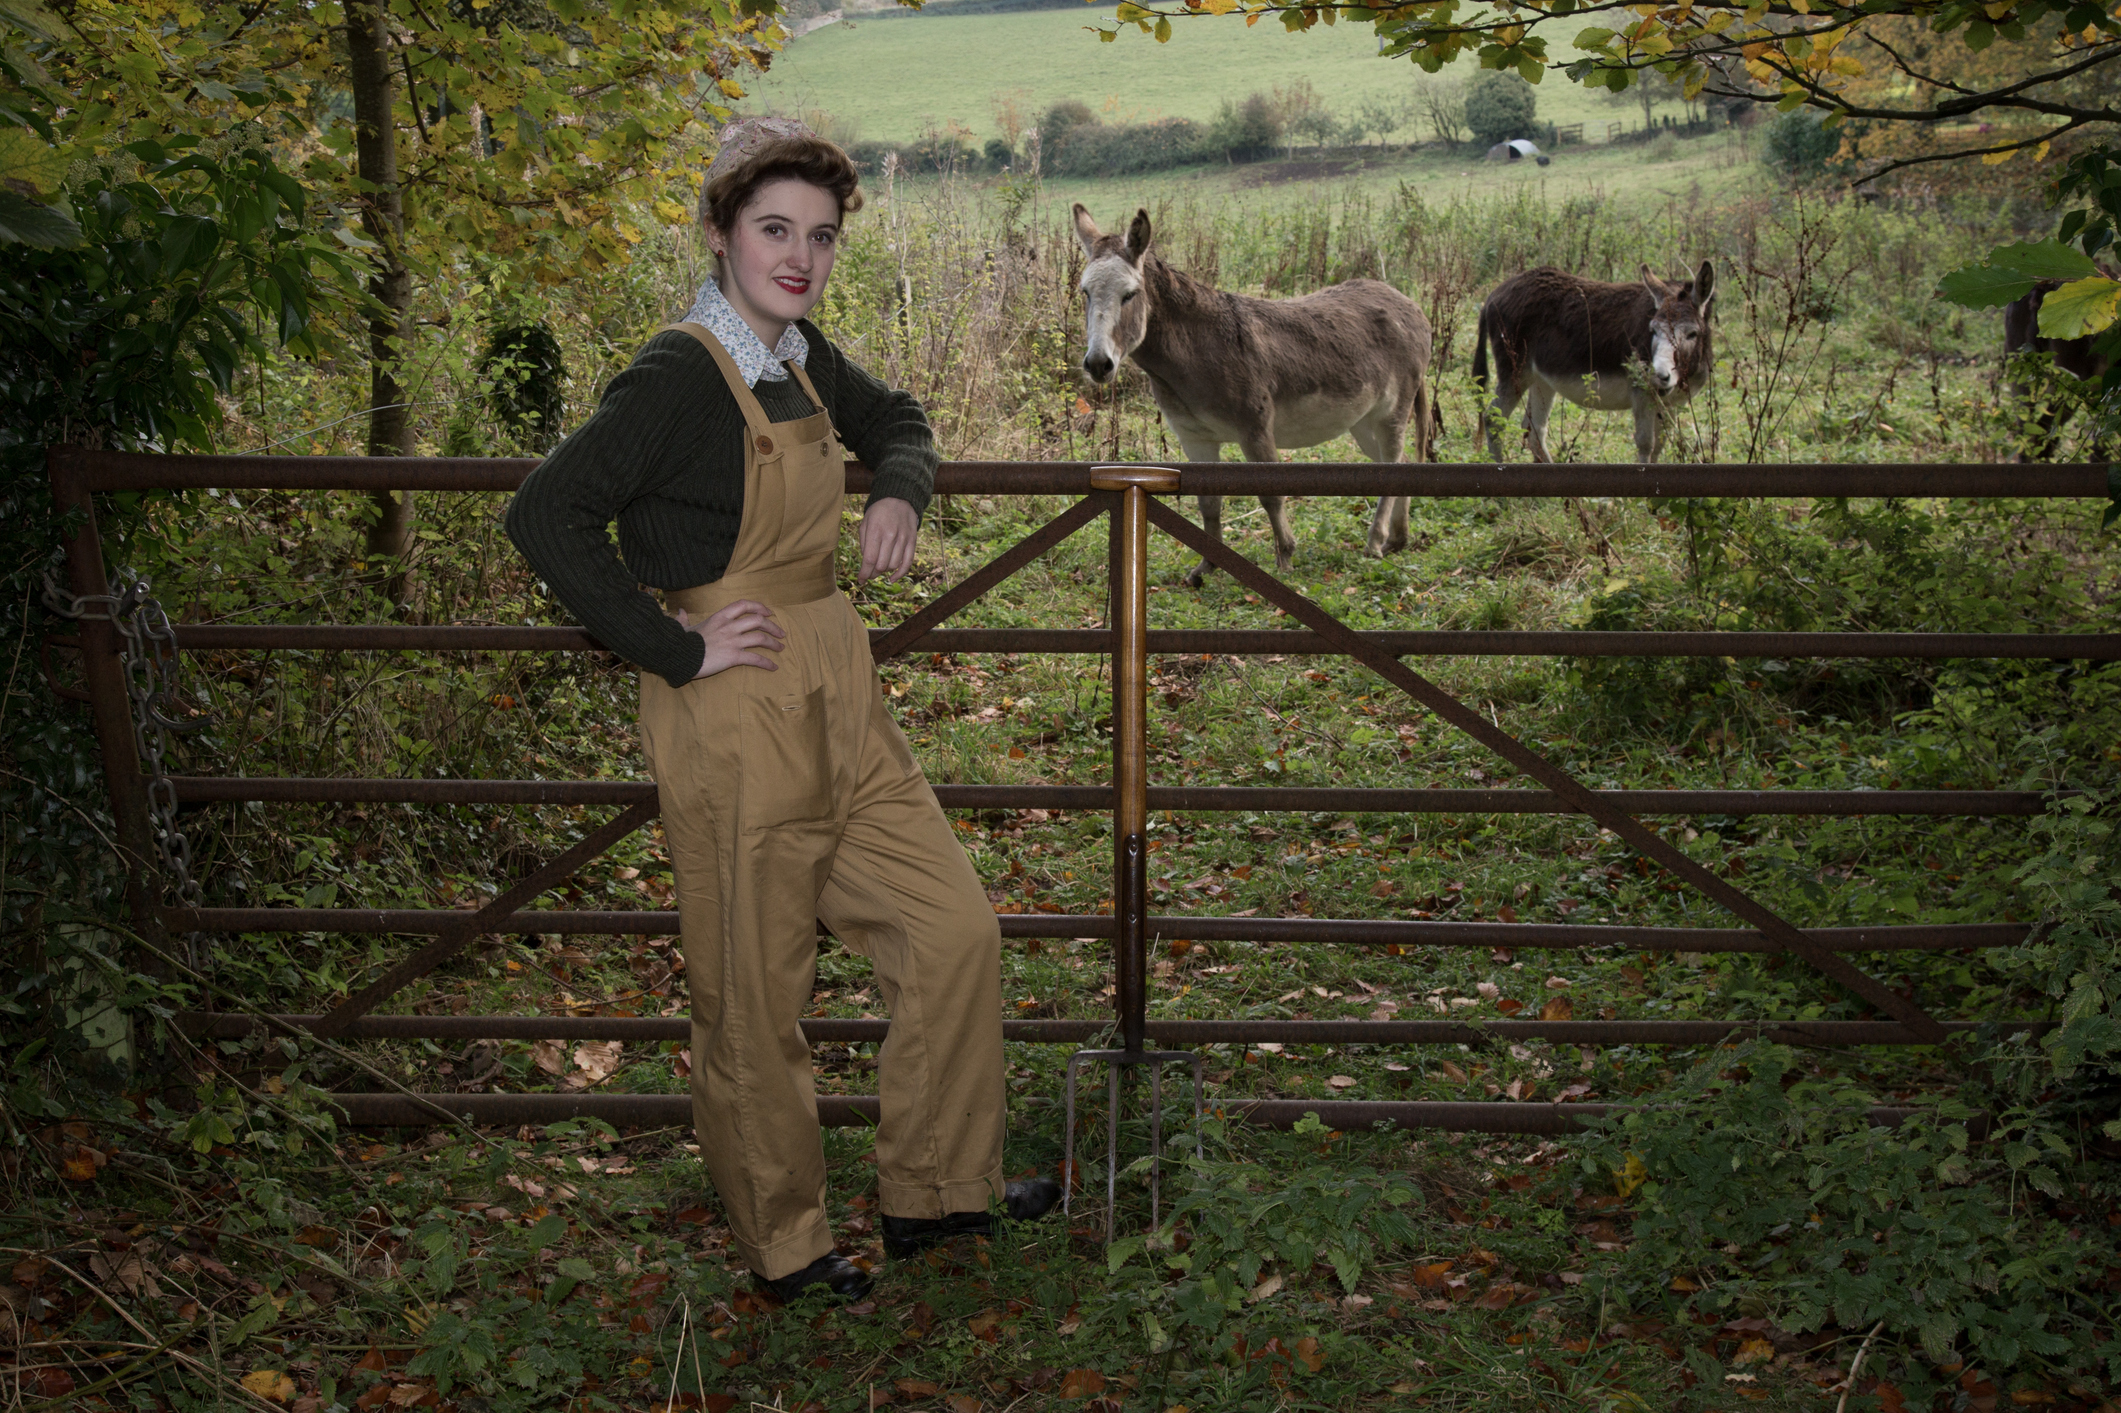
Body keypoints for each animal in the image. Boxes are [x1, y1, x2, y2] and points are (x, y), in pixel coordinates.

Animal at [1476, 260, 1722, 460]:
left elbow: (1659, 447)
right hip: (1515, 371)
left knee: (1534, 430)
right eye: (1653, 330)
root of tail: (1493, 295)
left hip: (1541, 380)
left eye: (1692, 334)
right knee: (1493, 419)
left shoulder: (1673, 404)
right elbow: (1645, 445)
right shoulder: (1642, 394)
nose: (1657, 377)